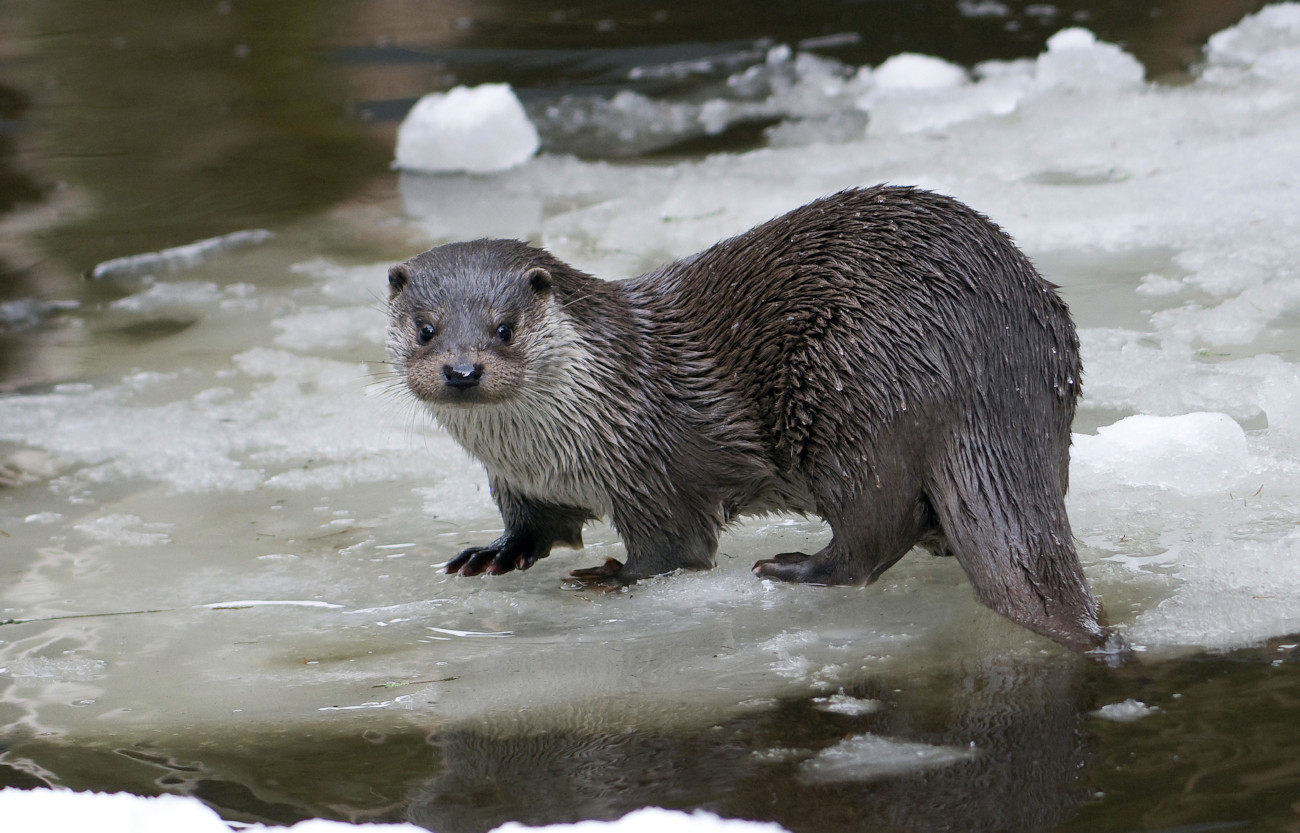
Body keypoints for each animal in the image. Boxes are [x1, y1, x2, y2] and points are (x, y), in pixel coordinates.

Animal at [384, 184, 1107, 652]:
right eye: (426, 330)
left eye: (504, 329)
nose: (462, 370)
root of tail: (998, 353)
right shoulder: (519, 482)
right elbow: (534, 527)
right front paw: (492, 553)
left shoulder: (649, 469)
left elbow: (674, 550)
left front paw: (610, 576)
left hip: (853, 394)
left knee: (876, 523)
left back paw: (795, 567)